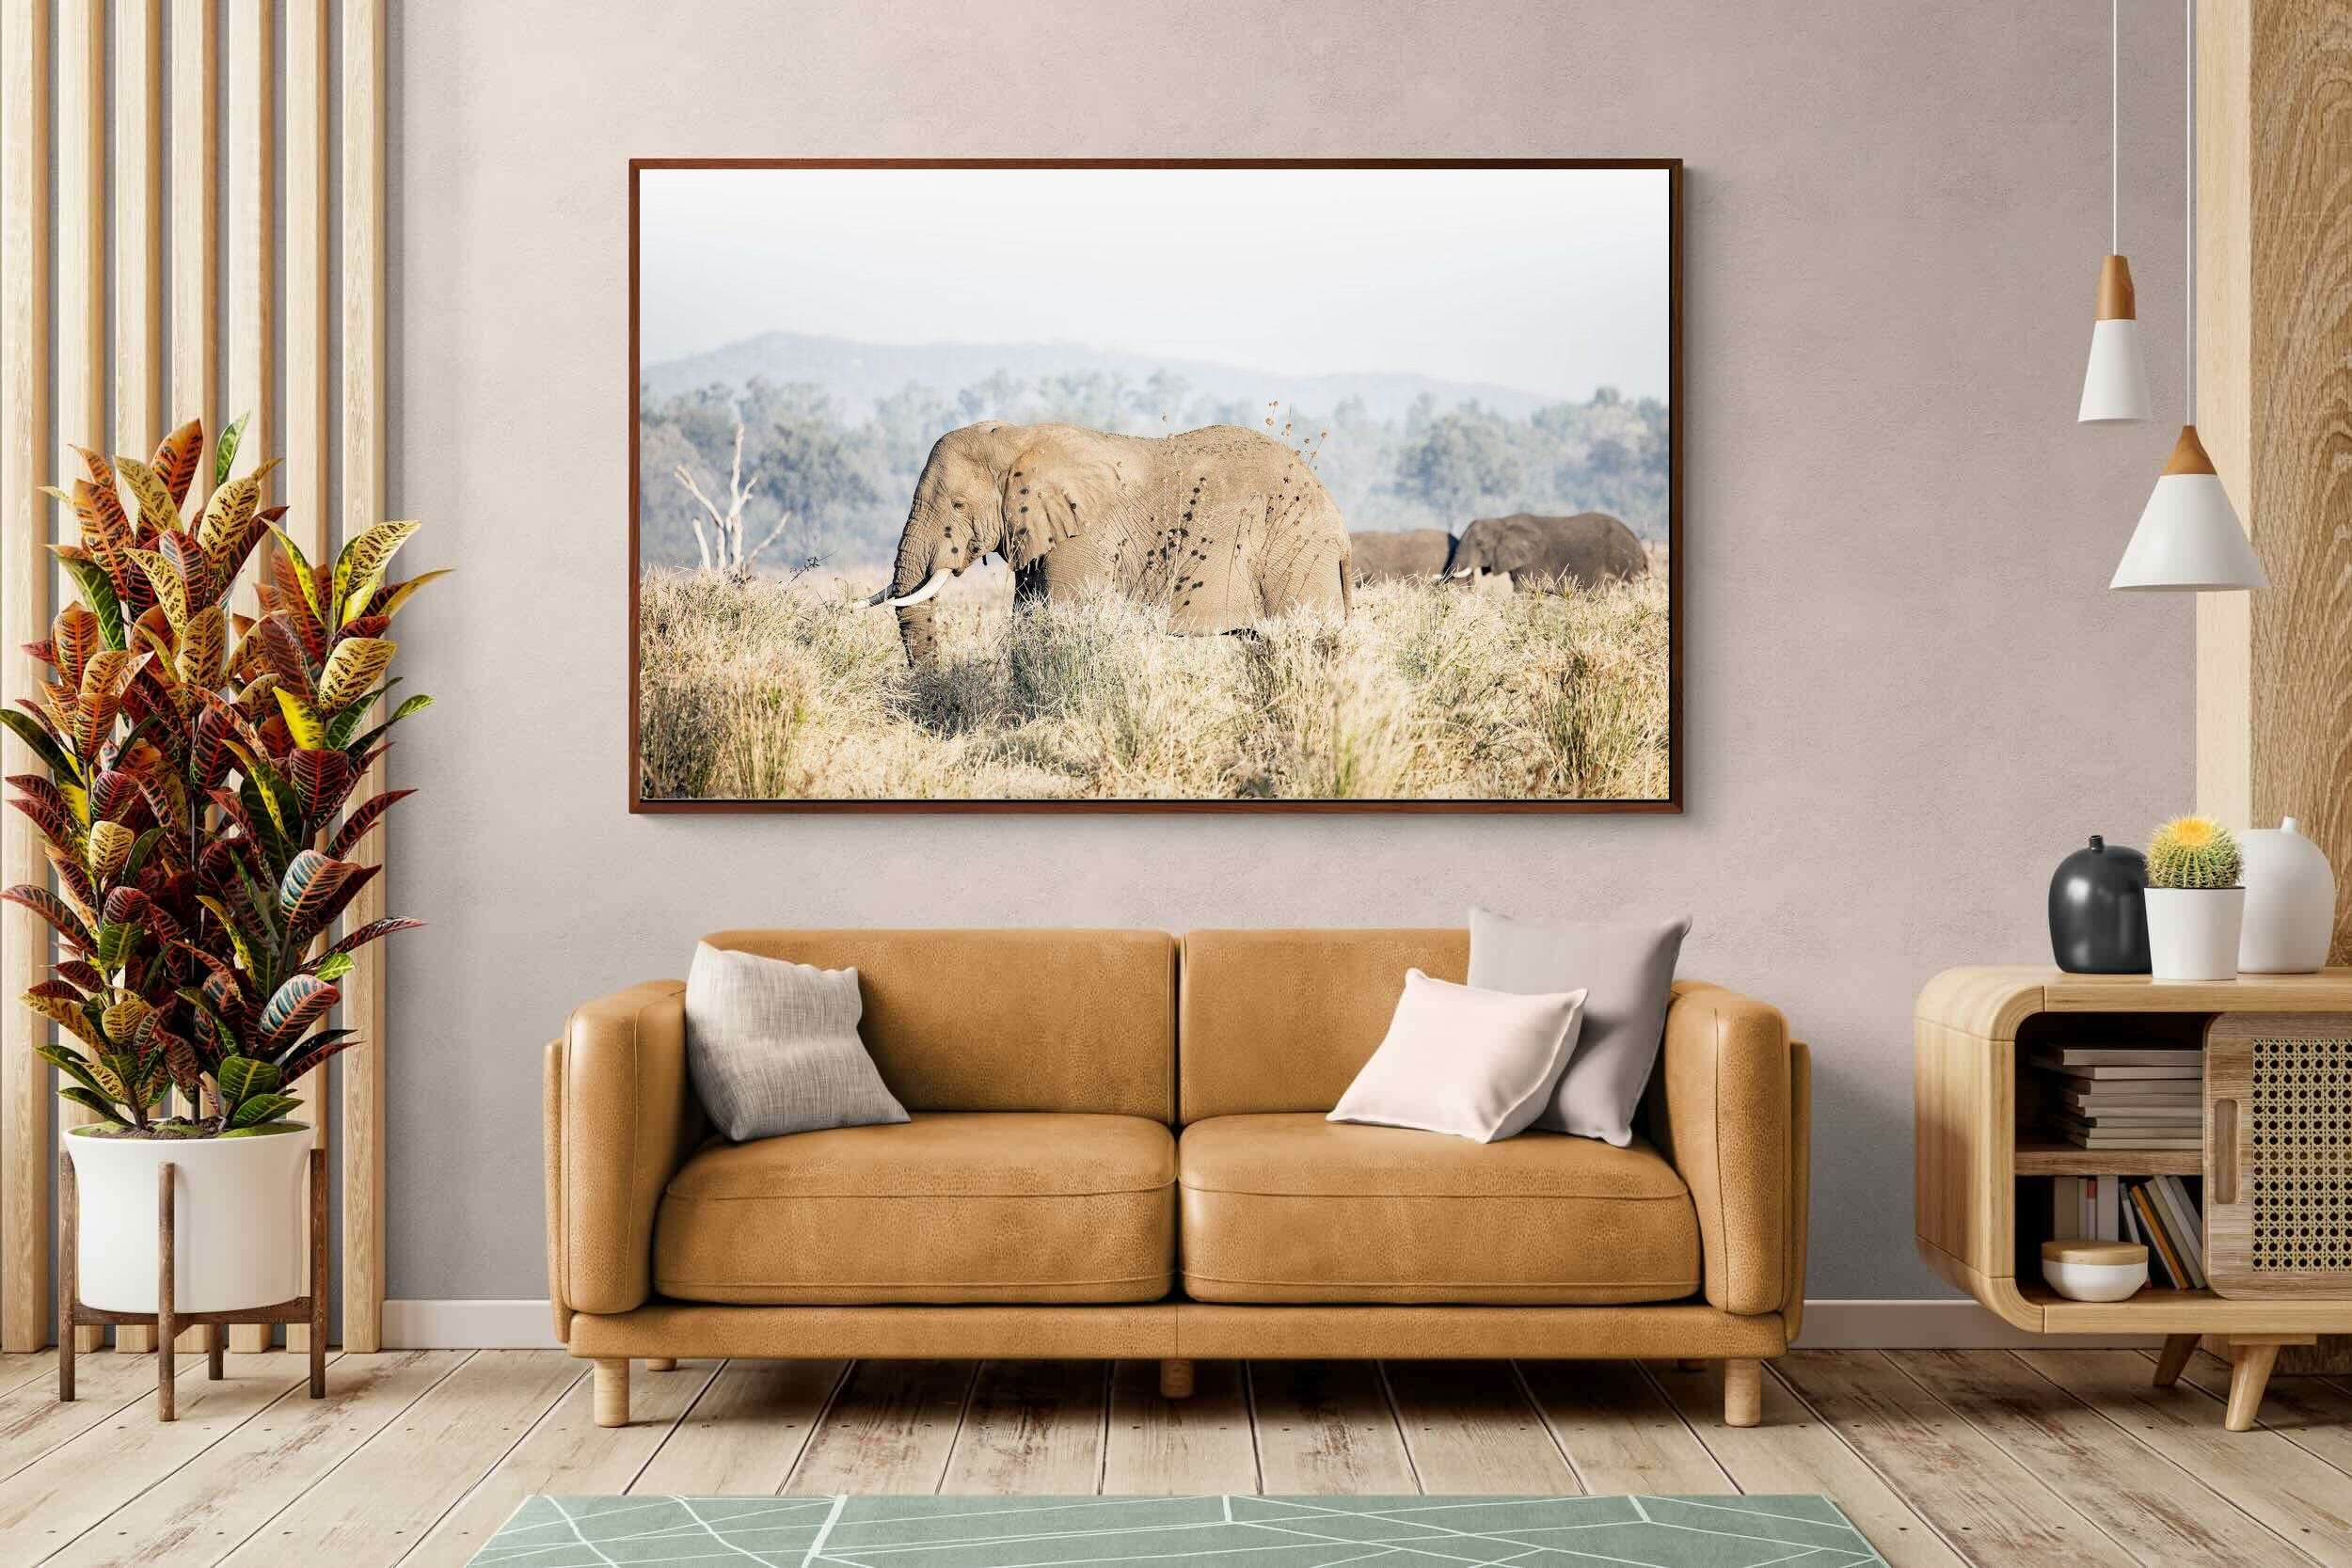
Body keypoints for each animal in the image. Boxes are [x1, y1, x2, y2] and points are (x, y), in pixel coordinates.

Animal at [867, 421, 1352, 663]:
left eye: (958, 504)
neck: (1019, 436)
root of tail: (1339, 526)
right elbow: (1028, 618)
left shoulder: (1085, 538)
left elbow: (1059, 618)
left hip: (1295, 554)